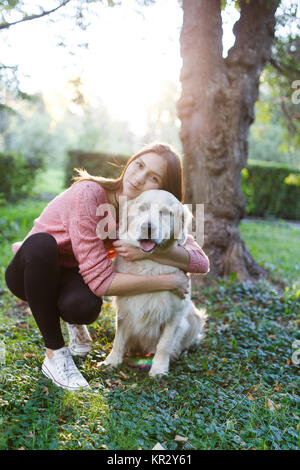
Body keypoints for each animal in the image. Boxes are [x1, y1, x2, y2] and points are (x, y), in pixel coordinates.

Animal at [99, 189, 207, 376]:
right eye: (142, 209)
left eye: (165, 212)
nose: (147, 228)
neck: (149, 262)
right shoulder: (125, 308)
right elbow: (119, 339)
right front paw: (112, 361)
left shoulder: (176, 312)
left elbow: (164, 344)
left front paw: (158, 369)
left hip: (195, 317)